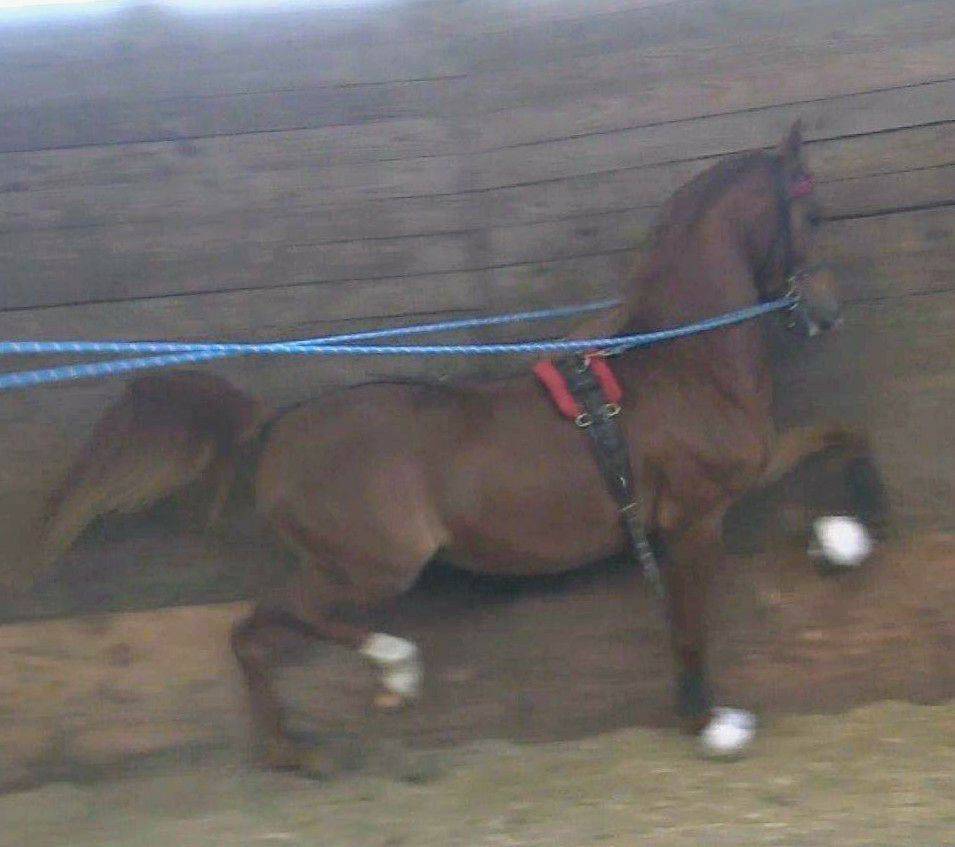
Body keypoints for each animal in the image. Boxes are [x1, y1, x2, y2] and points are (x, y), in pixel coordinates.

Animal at [35, 122, 888, 774]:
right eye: (814, 215)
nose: (827, 311)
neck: (681, 361)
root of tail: (277, 425)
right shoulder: (694, 517)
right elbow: (687, 623)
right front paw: (708, 720)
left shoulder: (751, 467)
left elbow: (845, 431)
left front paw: (845, 536)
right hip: (373, 565)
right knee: (275, 619)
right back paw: (390, 669)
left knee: (250, 636)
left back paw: (299, 750)